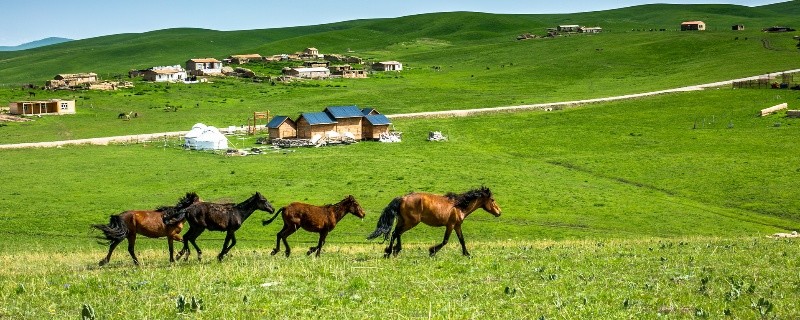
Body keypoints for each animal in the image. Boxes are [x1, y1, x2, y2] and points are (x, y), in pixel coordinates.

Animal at [368, 188, 500, 258]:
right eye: (492, 200)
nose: (499, 212)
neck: (459, 206)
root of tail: (402, 198)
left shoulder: (457, 226)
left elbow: (462, 240)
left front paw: (467, 254)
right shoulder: (450, 225)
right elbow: (445, 241)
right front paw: (432, 251)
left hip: (403, 221)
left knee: (396, 233)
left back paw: (394, 250)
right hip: (411, 222)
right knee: (396, 233)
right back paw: (389, 252)